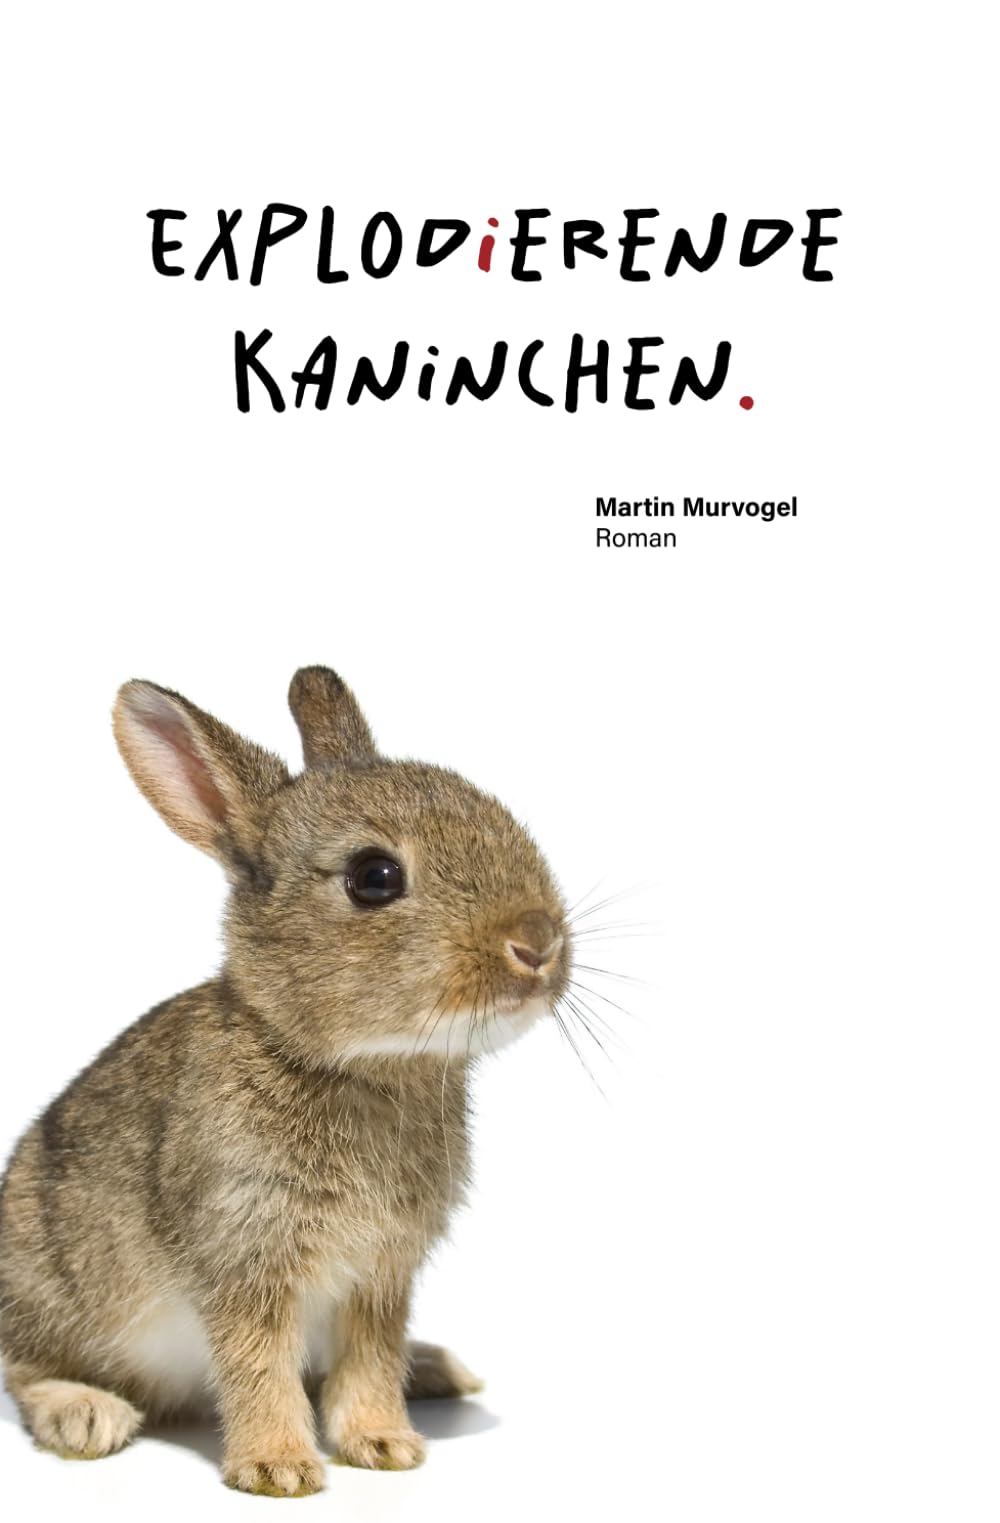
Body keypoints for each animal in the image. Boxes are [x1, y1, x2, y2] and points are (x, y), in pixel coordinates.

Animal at [0, 666, 570, 1496]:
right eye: (374, 877)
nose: (539, 943)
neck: (345, 1064)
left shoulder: (379, 1276)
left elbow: (368, 1361)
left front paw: (384, 1443)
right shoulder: (246, 1253)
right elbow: (259, 1364)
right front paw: (279, 1467)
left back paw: (435, 1368)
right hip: (51, 1284)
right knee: (26, 1367)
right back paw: (85, 1413)